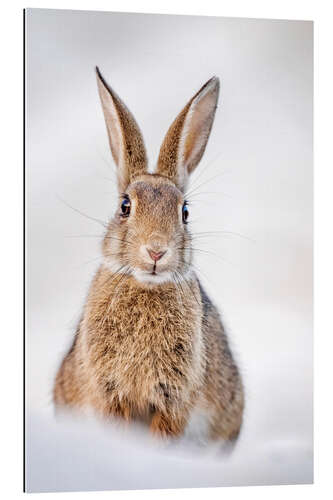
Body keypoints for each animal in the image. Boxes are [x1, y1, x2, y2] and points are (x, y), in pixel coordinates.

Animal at [53, 66, 243, 442]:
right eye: (125, 207)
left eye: (185, 212)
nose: (156, 250)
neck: (146, 286)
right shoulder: (110, 390)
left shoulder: (175, 396)